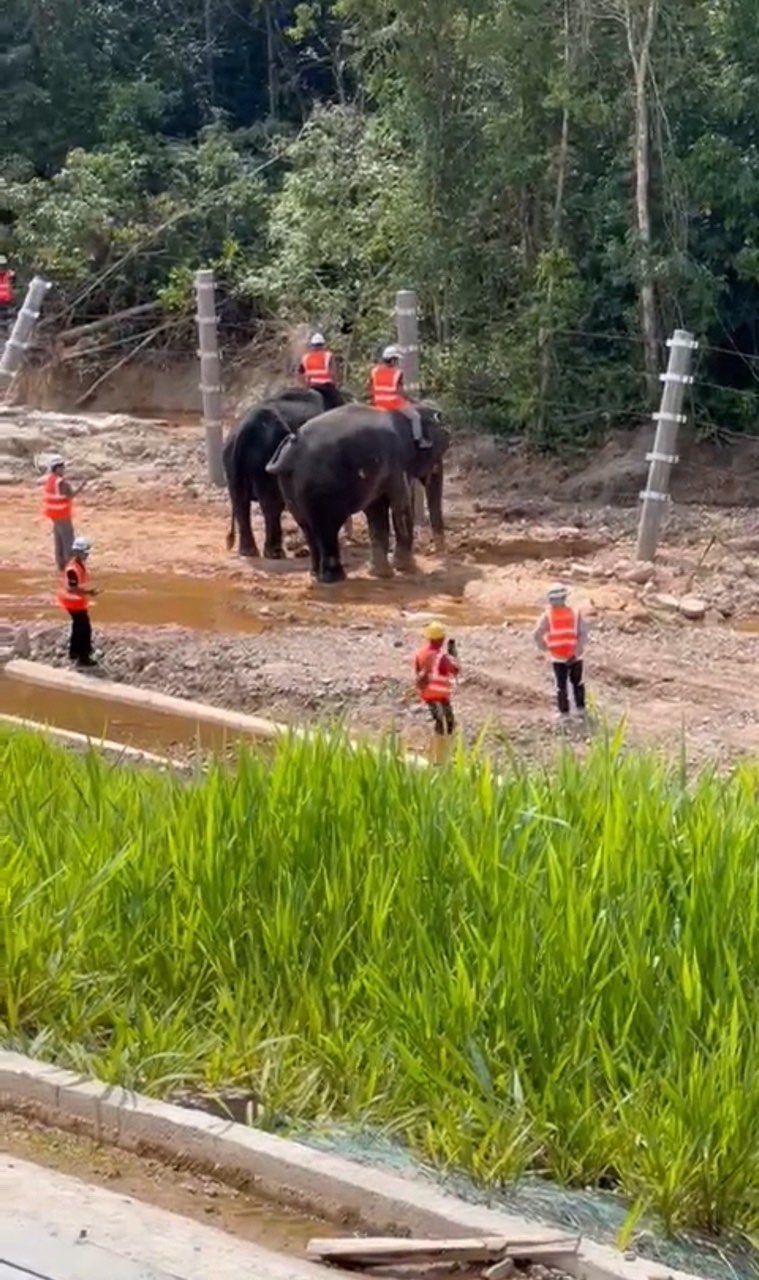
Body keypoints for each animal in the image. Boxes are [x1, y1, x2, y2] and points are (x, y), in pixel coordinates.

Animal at [223, 381, 345, 558]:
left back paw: (249, 552)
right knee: (271, 503)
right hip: (266, 457)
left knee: (240, 500)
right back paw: (274, 553)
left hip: (231, 458)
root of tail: (244, 430)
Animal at [264, 401, 447, 583]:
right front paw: (408, 569)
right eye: (438, 452)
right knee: (326, 527)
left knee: (307, 526)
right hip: (319, 489)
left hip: (289, 485)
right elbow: (401, 505)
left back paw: (316, 575)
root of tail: (291, 449)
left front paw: (382, 574)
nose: (436, 551)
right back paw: (334, 578)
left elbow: (376, 511)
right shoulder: (398, 462)